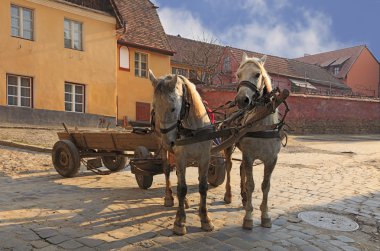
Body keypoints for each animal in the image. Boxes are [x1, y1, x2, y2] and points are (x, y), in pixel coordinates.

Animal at [148, 70, 214, 235]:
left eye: (173, 108)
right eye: (155, 108)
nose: (168, 142)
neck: (193, 129)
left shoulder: (205, 157)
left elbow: (203, 186)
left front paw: (205, 219)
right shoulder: (180, 157)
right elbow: (182, 188)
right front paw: (179, 221)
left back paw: (184, 202)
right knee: (167, 171)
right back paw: (169, 198)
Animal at [223, 52, 282, 229]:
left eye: (257, 74)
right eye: (238, 75)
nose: (242, 100)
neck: (262, 124)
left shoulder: (271, 159)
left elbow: (265, 185)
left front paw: (265, 215)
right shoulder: (249, 156)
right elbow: (251, 184)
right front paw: (248, 216)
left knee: (241, 168)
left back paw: (243, 197)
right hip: (228, 147)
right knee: (229, 167)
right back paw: (228, 195)